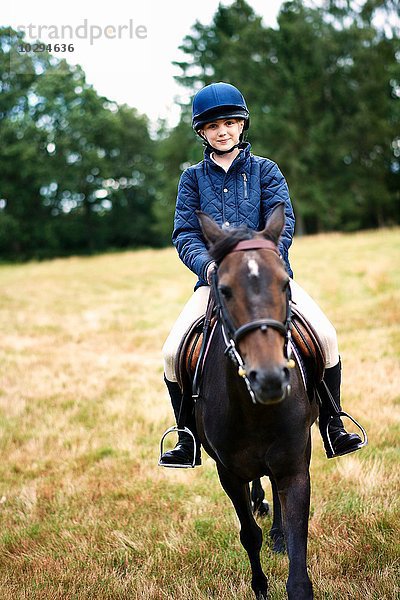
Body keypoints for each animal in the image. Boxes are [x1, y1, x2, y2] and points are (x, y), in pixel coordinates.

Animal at [195, 204, 318, 596]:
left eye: (285, 283)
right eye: (224, 289)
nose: (269, 378)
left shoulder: (294, 464)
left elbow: (297, 544)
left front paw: (284, 542)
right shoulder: (228, 472)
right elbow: (249, 534)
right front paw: (261, 587)